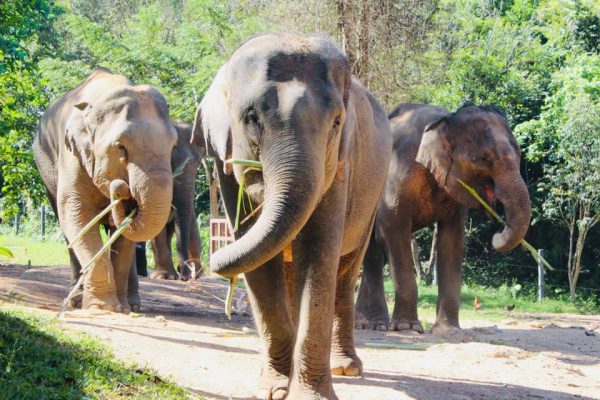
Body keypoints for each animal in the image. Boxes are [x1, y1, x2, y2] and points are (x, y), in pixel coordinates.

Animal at [33, 68, 176, 312]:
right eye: (120, 147)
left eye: (173, 145)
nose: (121, 188)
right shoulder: (71, 155)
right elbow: (76, 214)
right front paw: (102, 308)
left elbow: (125, 233)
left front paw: (121, 309)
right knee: (67, 230)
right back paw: (74, 301)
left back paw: (133, 305)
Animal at [149, 122, 205, 282]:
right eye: (169, 162)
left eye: (198, 163)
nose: (184, 276)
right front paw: (164, 276)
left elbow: (190, 220)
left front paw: (196, 273)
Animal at [192, 34, 394, 400]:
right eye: (251, 117)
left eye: (337, 122)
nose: (213, 254)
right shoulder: (225, 167)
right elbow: (257, 259)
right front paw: (273, 389)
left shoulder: (340, 165)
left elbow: (318, 252)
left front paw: (311, 395)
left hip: (372, 197)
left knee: (345, 271)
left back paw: (346, 368)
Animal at [354, 102, 532, 332]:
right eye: (484, 159)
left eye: (519, 154)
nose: (497, 231)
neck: (445, 121)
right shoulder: (398, 173)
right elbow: (394, 229)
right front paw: (407, 328)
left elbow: (452, 239)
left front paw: (448, 331)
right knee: (372, 250)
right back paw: (372, 325)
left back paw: (369, 324)